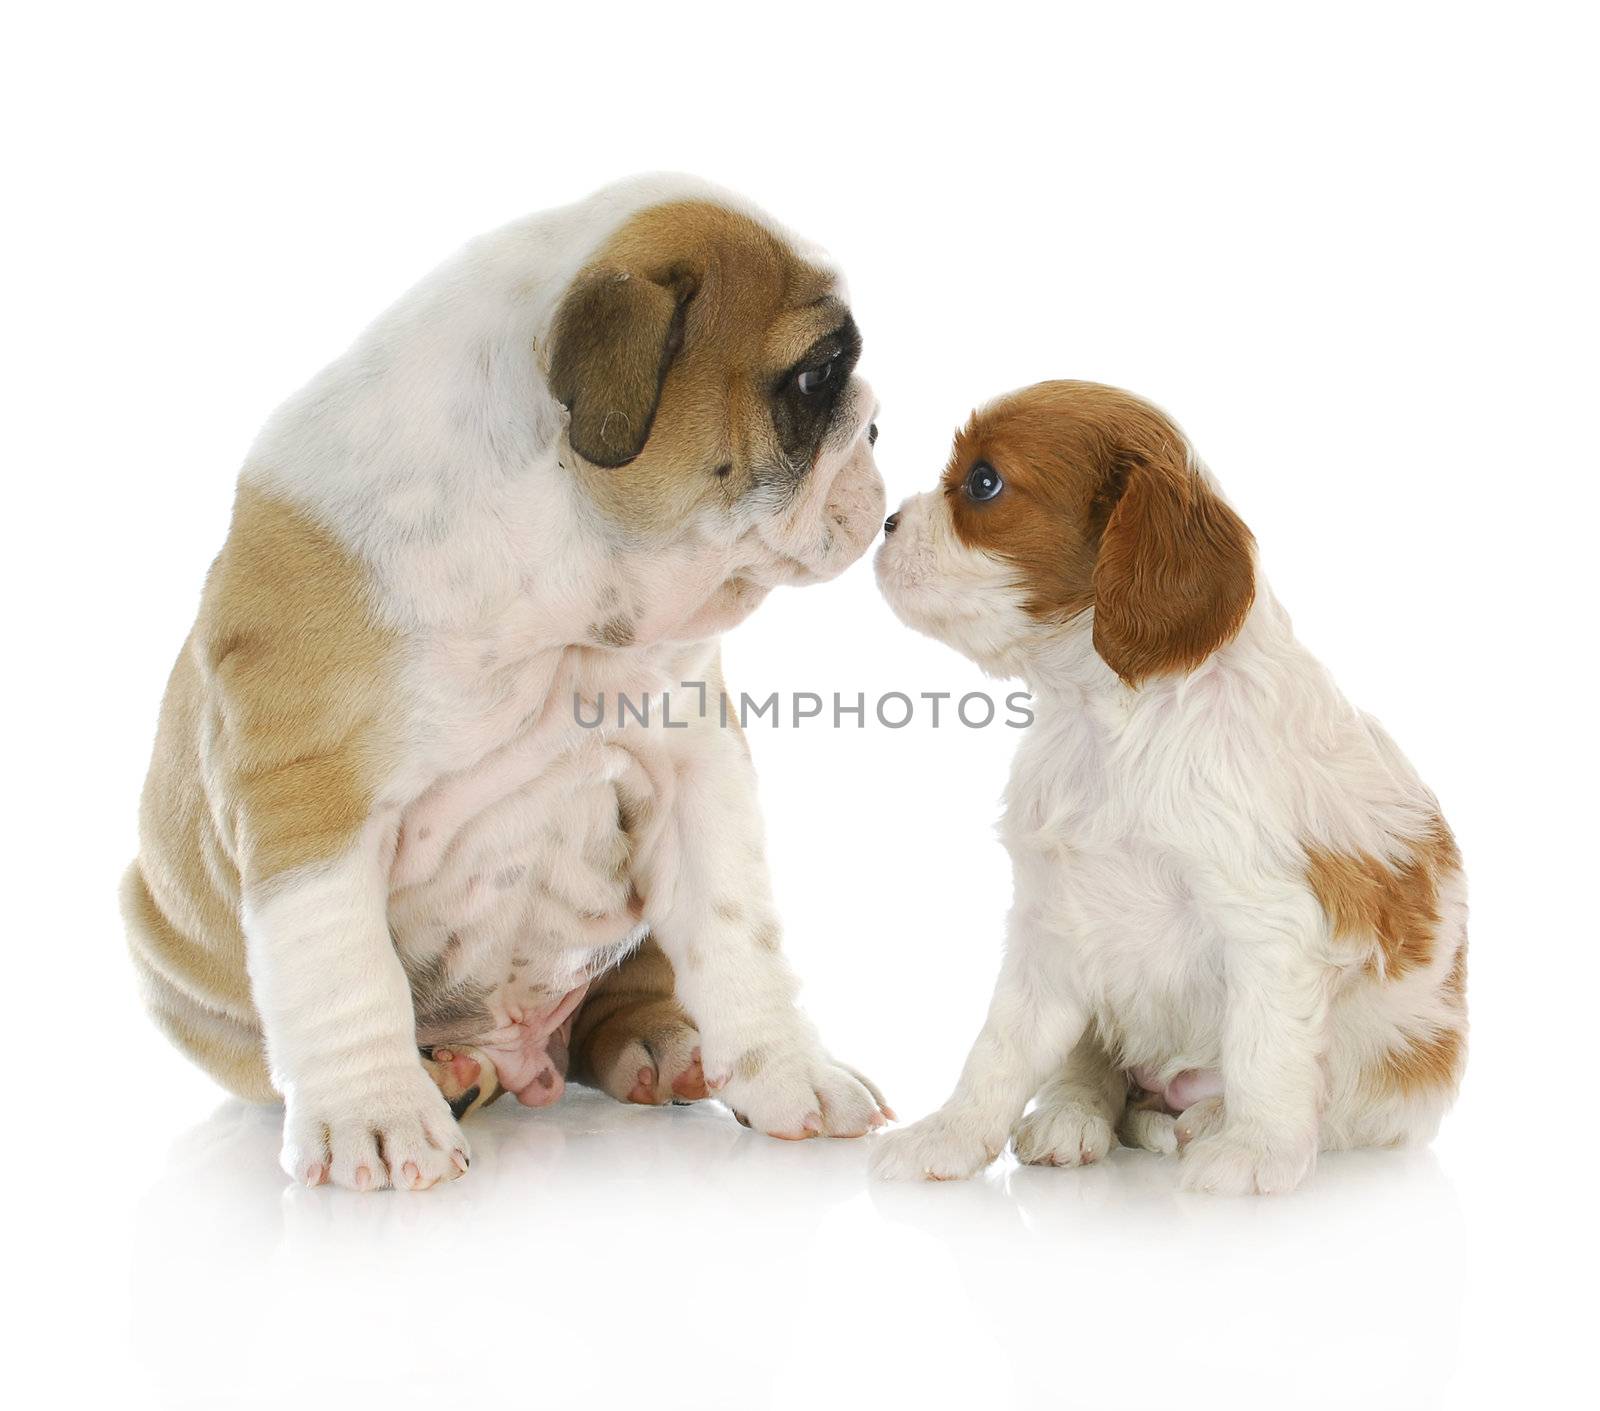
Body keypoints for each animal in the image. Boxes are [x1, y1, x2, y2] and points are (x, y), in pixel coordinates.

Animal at [128, 175, 889, 1190]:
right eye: (816, 375)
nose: (878, 423)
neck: (557, 578)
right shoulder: (312, 804)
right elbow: (341, 968)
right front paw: (376, 1114)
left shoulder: (697, 766)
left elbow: (735, 933)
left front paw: (790, 1071)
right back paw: (441, 1072)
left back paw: (662, 1045)